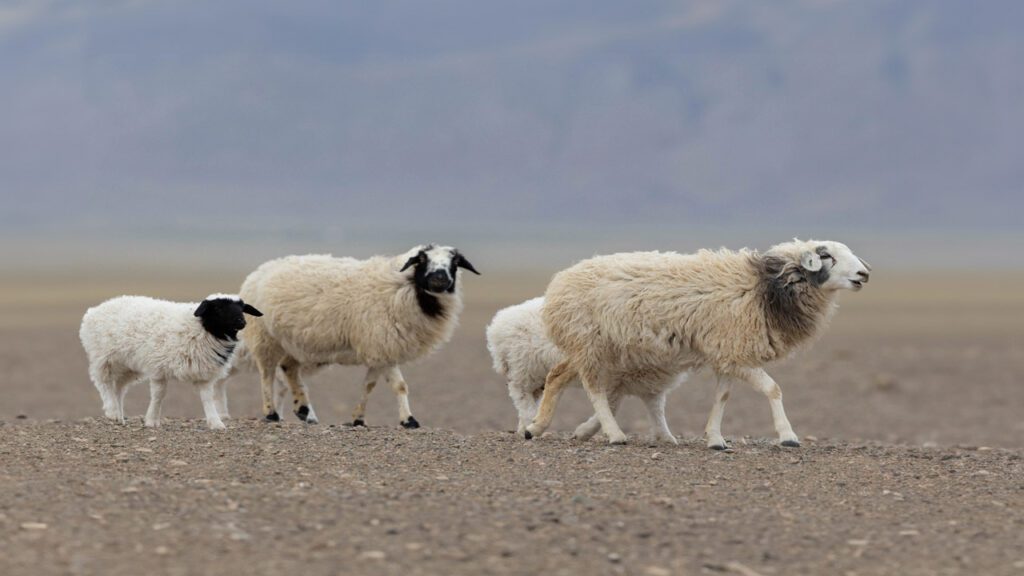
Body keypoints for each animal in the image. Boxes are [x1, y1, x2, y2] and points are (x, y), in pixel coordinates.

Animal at [79, 294, 263, 430]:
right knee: (104, 383)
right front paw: (152, 420)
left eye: (242, 308)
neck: (202, 328)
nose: (242, 322)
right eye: (218, 308)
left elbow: (207, 399)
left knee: (118, 388)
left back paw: (118, 415)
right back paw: (111, 410)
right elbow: (158, 396)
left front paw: (216, 423)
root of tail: (94, 310)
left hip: (127, 365)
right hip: (104, 358)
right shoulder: (158, 368)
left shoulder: (203, 374)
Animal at [239, 244, 479, 427]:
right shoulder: (384, 345)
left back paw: (304, 411)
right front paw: (409, 420)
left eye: (455, 262)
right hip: (265, 338)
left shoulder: (380, 351)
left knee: (289, 368)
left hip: (296, 344)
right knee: (267, 374)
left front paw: (358, 419)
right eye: (421, 260)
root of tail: (260, 271)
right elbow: (400, 386)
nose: (439, 278)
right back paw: (271, 413)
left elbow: (368, 386)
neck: (404, 287)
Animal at [486, 296, 686, 443]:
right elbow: (610, 406)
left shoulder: (647, 384)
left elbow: (656, 411)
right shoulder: (614, 380)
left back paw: (524, 427)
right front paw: (589, 432)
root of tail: (497, 326)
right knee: (519, 393)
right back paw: (529, 420)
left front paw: (666, 437)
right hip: (523, 368)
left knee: (530, 397)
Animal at [525, 239, 871, 447]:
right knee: (594, 389)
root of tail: (558, 283)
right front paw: (788, 436)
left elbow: (723, 396)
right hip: (590, 344)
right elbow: (773, 389)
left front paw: (715, 438)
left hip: (590, 347)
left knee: (556, 375)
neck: (766, 287)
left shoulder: (729, 354)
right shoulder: (736, 350)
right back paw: (614, 434)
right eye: (828, 256)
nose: (864, 274)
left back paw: (536, 427)